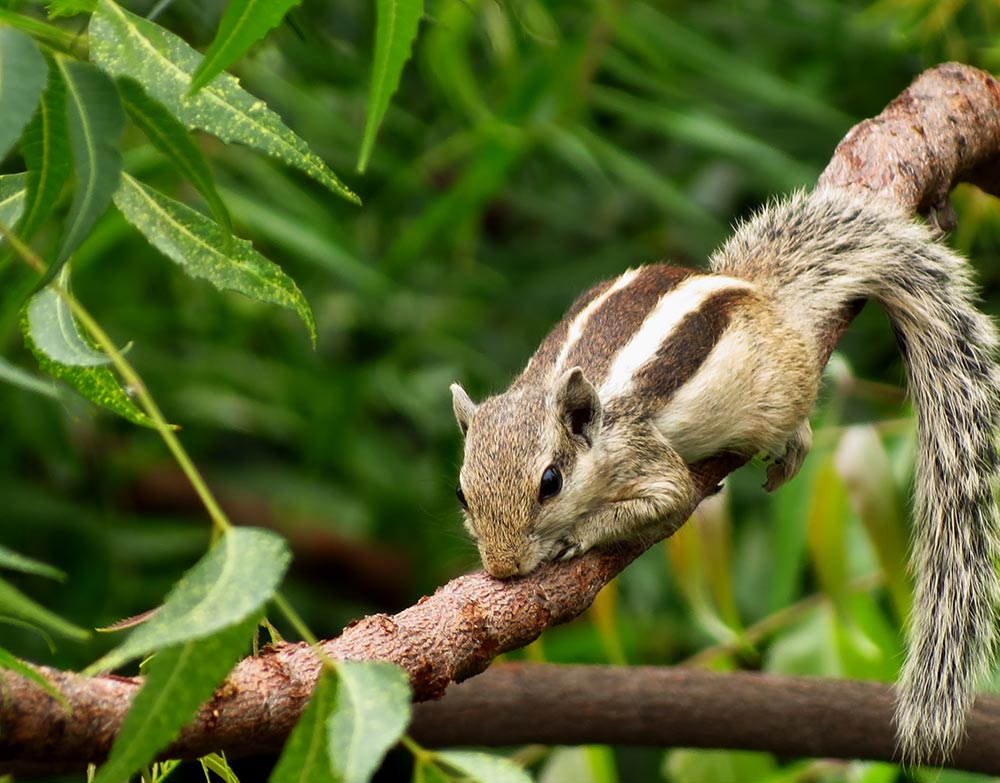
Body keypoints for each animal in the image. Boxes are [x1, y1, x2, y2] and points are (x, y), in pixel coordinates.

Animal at [450, 188, 1000, 762]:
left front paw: (575, 535)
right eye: (463, 495)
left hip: (779, 391)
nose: (503, 568)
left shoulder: (645, 455)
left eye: (551, 483)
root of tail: (757, 289)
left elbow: (668, 500)